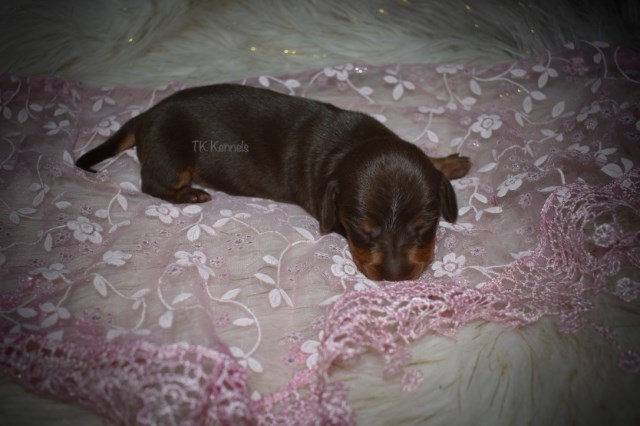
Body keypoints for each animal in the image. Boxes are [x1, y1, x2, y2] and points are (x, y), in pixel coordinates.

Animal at [79, 84, 470, 282]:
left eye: (426, 224)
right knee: (151, 183)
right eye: (362, 229)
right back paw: (191, 194)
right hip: (170, 157)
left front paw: (450, 162)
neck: (351, 146)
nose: (396, 277)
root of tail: (146, 115)